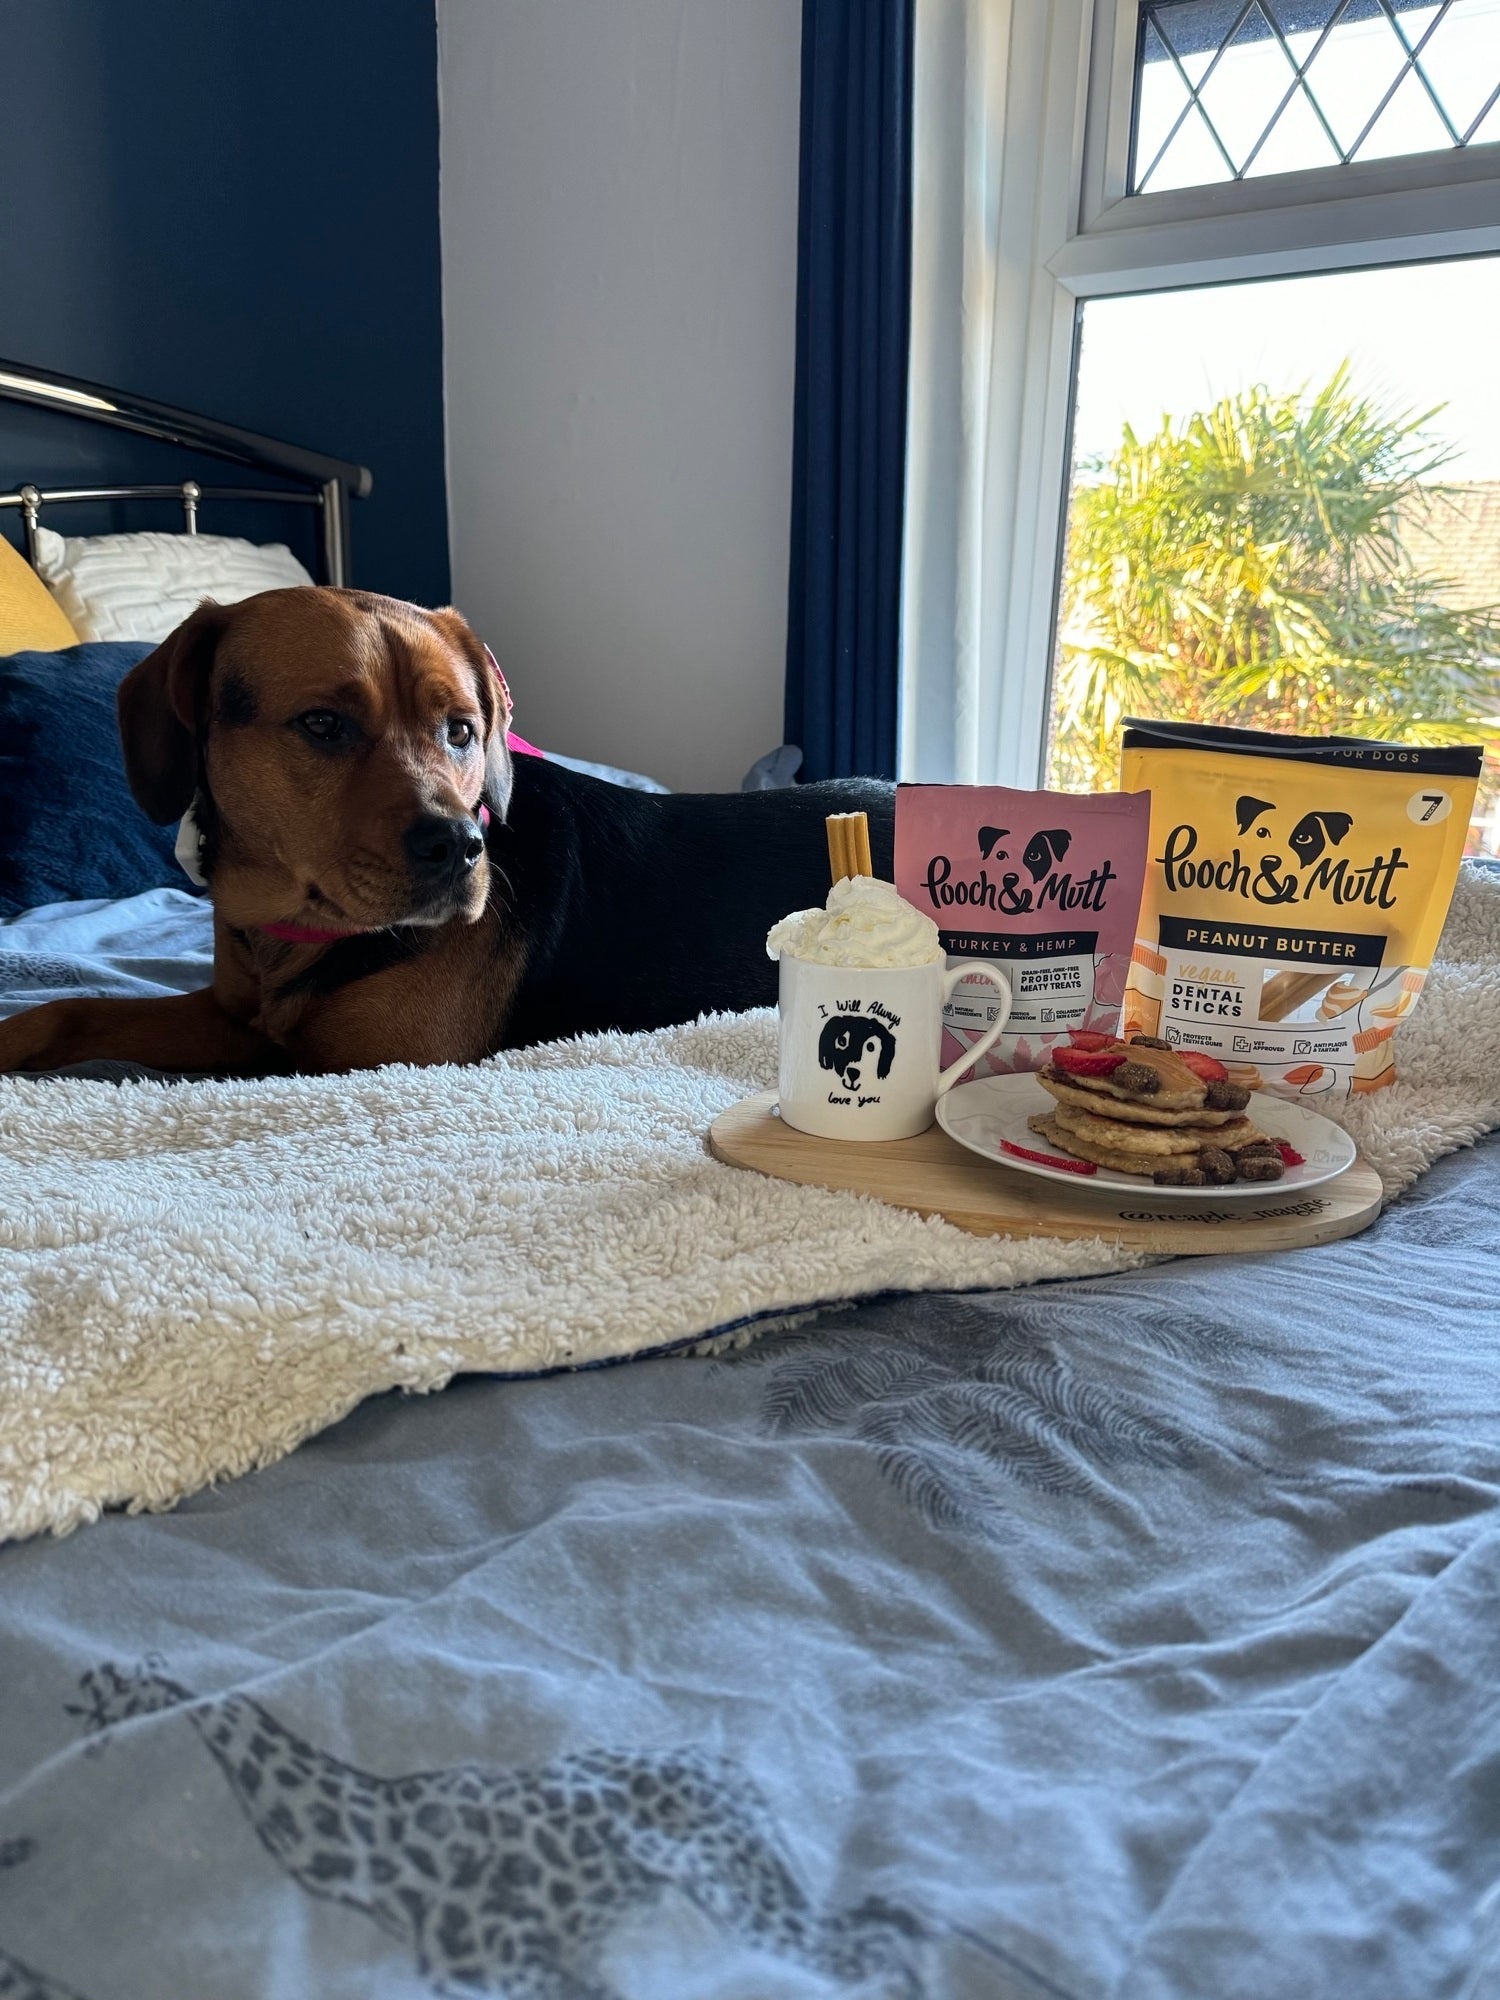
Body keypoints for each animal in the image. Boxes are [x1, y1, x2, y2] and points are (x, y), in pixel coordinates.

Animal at [0, 584, 892, 1080]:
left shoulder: (347, 1061)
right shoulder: (232, 1018)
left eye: (461, 731)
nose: (462, 847)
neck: (294, 933)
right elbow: (72, 1012)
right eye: (322, 724)